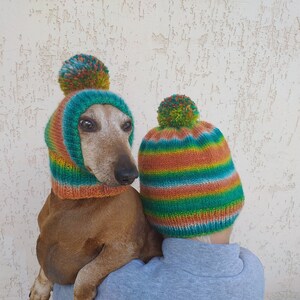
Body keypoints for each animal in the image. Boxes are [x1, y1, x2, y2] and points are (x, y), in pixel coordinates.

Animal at [29, 104, 163, 298]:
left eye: (127, 125)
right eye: (87, 124)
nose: (130, 174)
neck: (77, 201)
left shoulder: (124, 248)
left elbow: (86, 273)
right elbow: (43, 266)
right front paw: (40, 287)